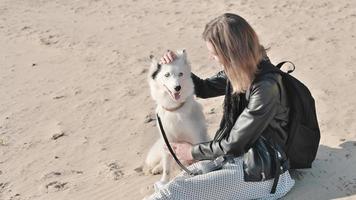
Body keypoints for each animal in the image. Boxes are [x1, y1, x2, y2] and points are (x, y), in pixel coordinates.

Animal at [145, 49, 210, 188]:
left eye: (180, 74)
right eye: (167, 75)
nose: (177, 87)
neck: (175, 110)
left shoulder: (197, 138)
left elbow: (201, 158)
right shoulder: (167, 141)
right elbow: (167, 167)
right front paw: (164, 181)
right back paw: (157, 168)